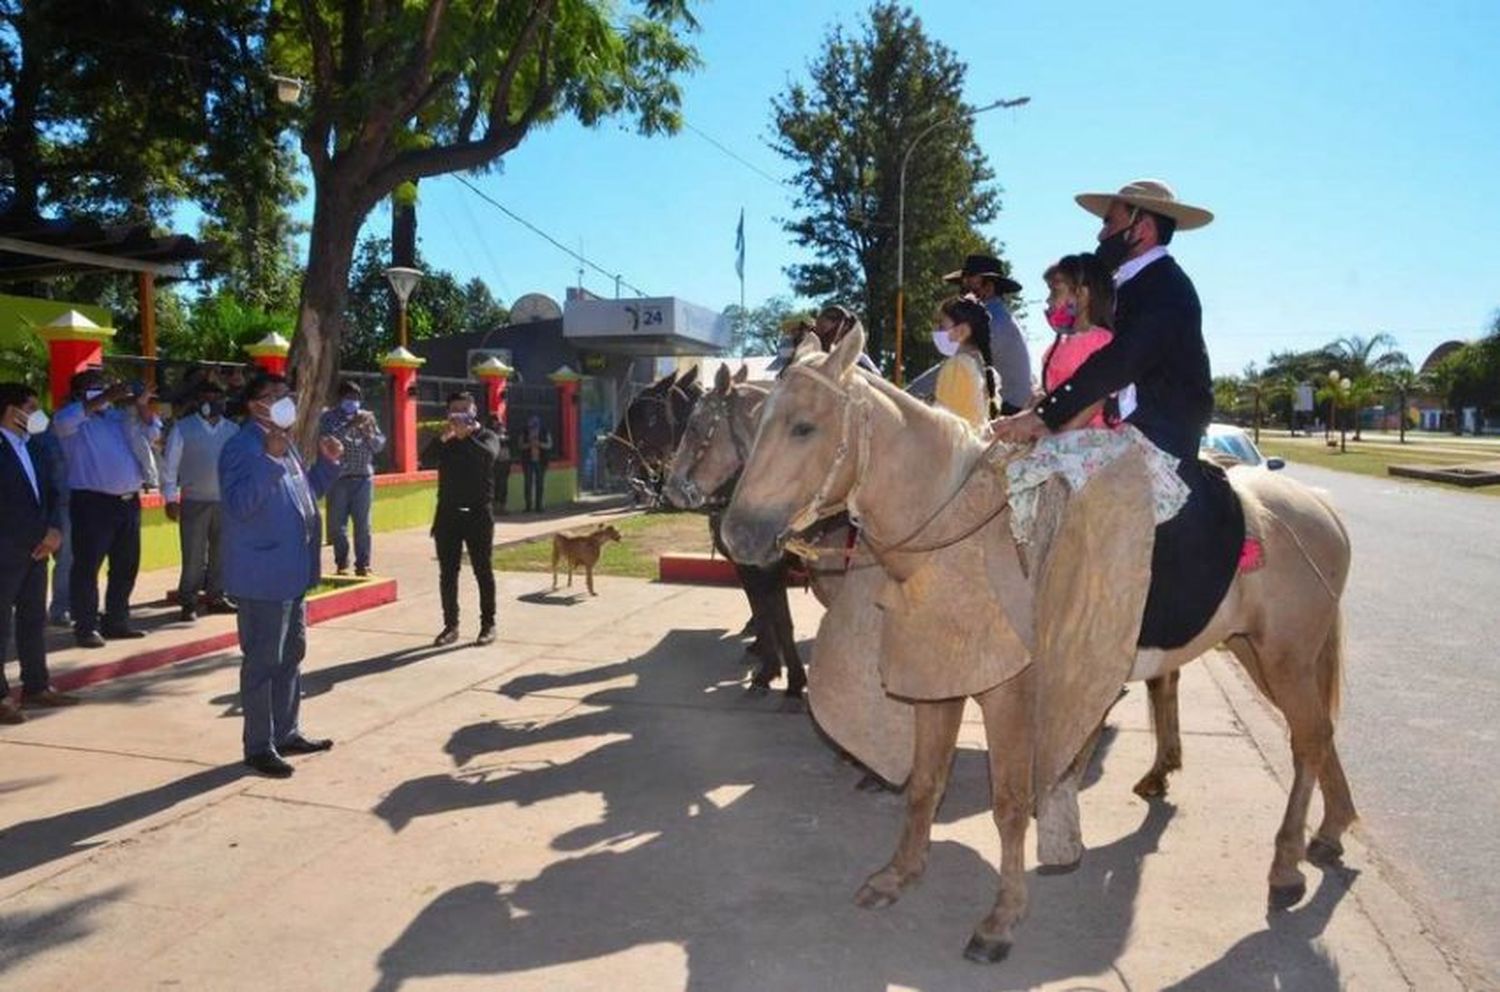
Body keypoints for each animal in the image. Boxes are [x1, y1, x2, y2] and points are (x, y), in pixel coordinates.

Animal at [717, 328, 1362, 960]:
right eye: (761, 419)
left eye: (804, 426)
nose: (739, 533)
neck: (962, 534)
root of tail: (1320, 507)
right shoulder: (936, 683)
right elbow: (925, 784)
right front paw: (898, 875)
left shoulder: (1008, 697)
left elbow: (1008, 803)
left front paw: (1000, 921)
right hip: (1258, 651)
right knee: (1321, 735)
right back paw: (1330, 832)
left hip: (1286, 656)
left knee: (1306, 741)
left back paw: (1285, 867)